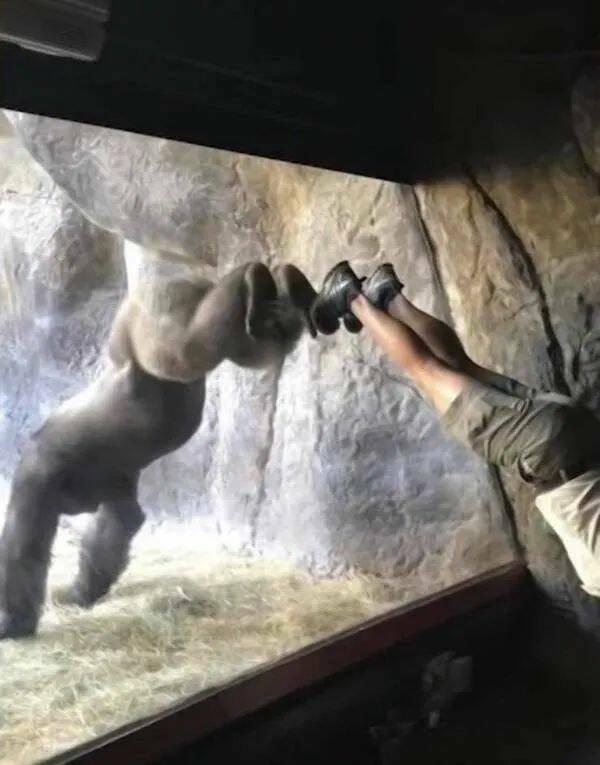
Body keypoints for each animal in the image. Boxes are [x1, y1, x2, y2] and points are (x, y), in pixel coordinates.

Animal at [0, 262, 317, 639]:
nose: (80, 505)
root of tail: (182, 277)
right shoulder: (110, 483)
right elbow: (120, 524)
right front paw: (82, 592)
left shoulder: (38, 477)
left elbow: (23, 547)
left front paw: (13, 622)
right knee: (247, 347)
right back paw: (281, 288)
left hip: (151, 307)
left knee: (187, 347)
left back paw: (252, 276)